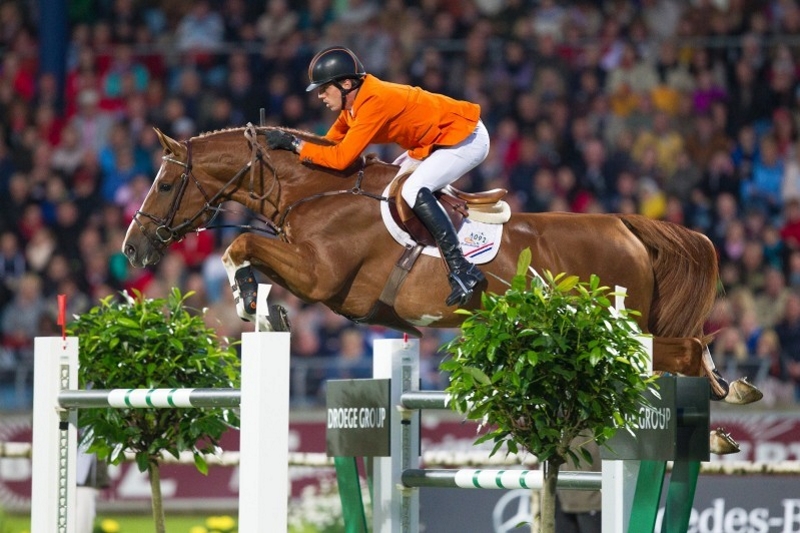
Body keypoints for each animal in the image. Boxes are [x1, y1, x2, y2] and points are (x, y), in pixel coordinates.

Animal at [122, 125, 760, 443]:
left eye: (163, 183)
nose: (132, 249)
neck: (316, 191)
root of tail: (627, 226)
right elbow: (251, 252)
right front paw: (262, 306)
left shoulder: (320, 276)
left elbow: (240, 246)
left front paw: (246, 297)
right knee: (677, 354)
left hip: (614, 325)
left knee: (685, 350)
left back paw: (723, 410)